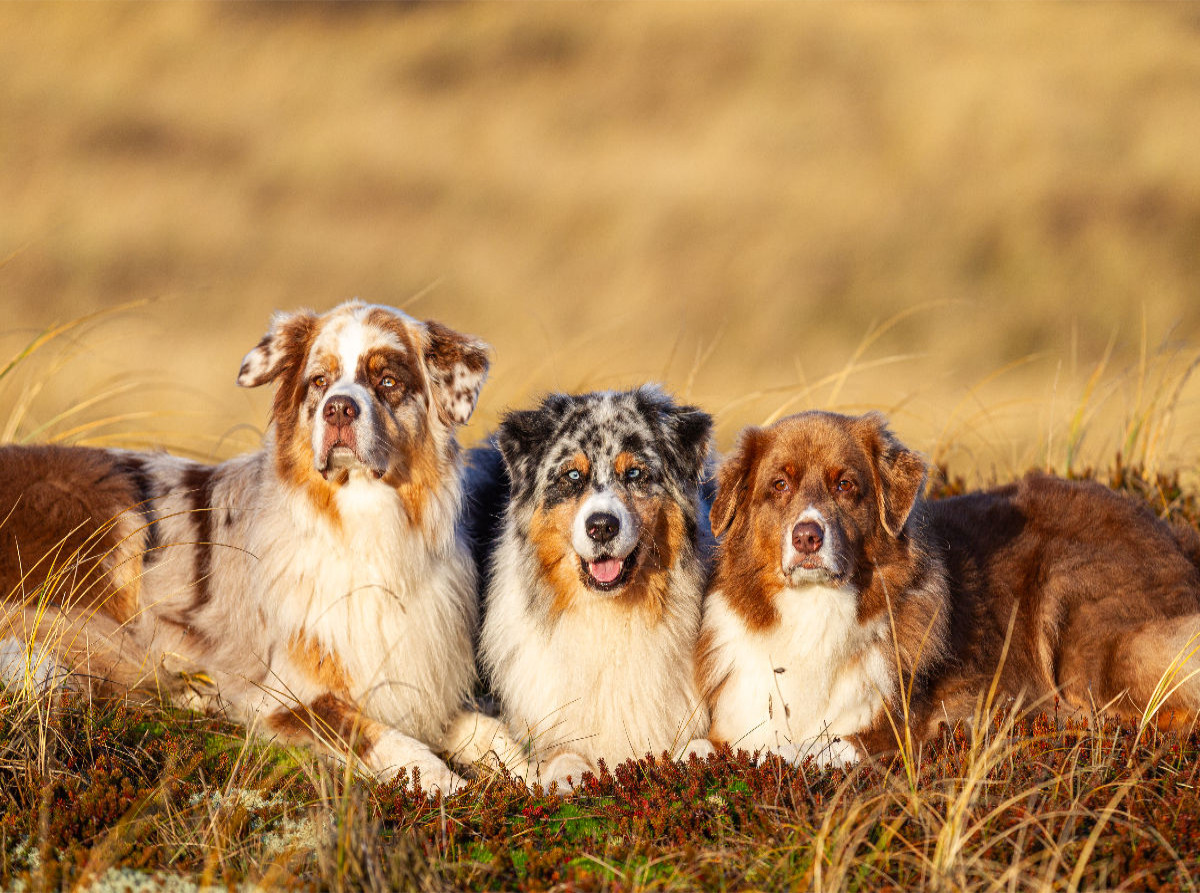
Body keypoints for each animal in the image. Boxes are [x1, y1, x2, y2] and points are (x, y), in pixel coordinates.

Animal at [0, 301, 518, 796]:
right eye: (319, 381)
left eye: (388, 380)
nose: (338, 409)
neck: (363, 528)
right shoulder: (283, 695)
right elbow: (380, 737)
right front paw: (443, 783)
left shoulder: (426, 685)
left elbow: (492, 731)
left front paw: (533, 769)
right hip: (106, 507)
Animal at [700, 408, 1200, 763]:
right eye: (778, 485)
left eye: (845, 484)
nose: (807, 537)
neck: (815, 613)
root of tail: (1172, 533)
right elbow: (715, 748)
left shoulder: (904, 728)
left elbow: (805, 748)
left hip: (1073, 599)